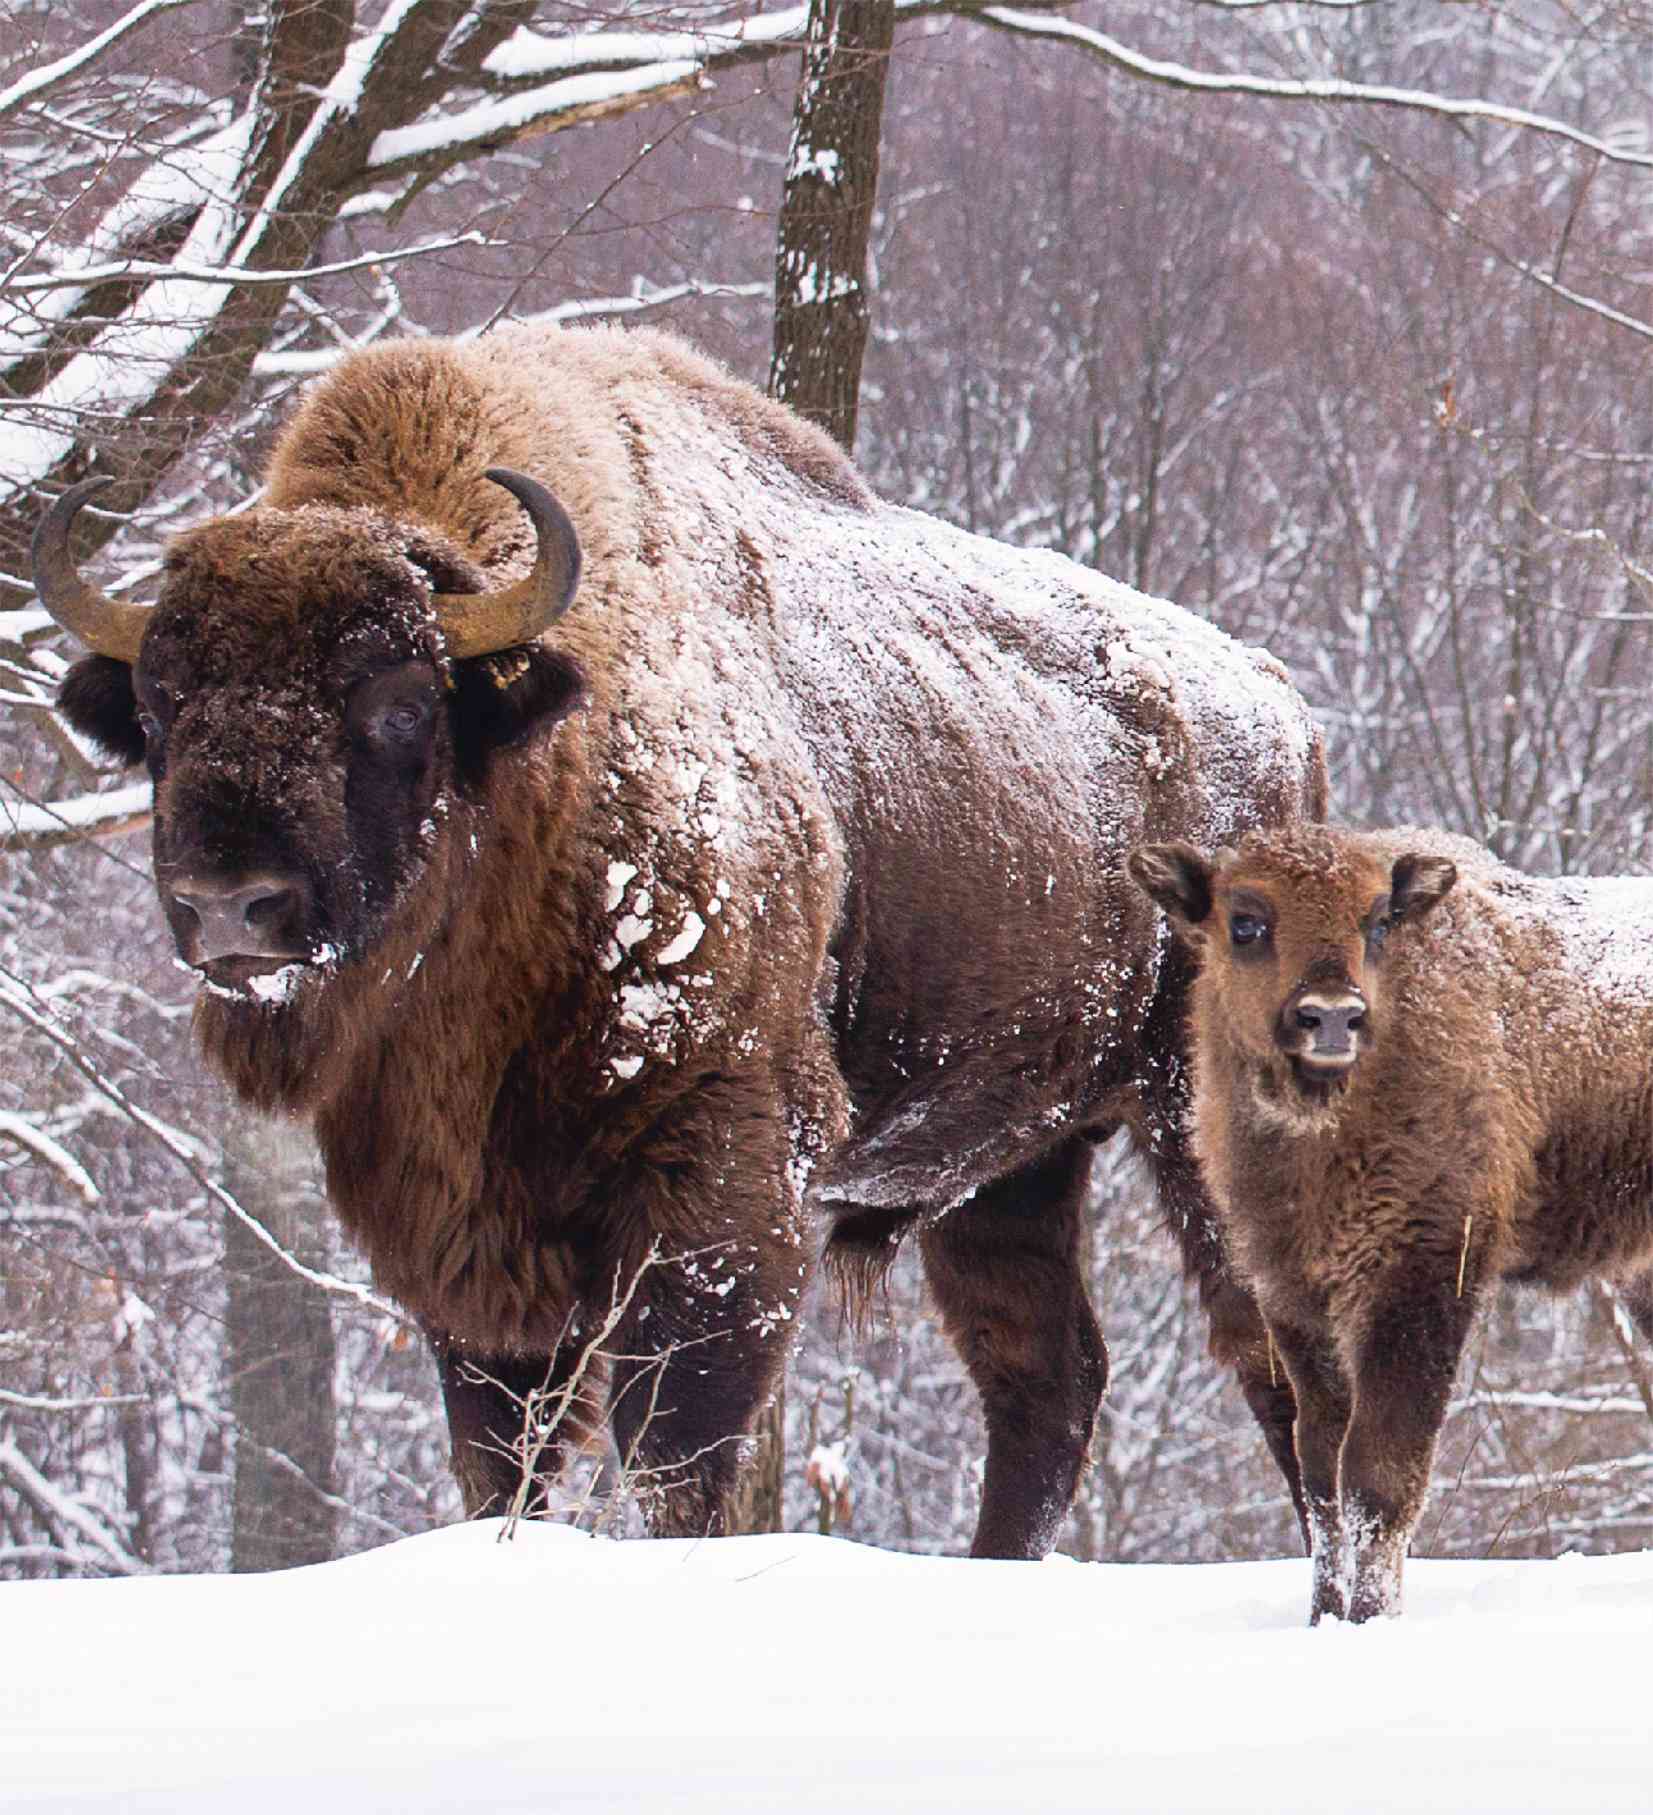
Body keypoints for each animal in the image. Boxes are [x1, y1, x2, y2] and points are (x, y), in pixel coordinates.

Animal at [38, 323, 1328, 1546]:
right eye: (157, 707)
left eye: (397, 701)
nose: (230, 906)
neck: (538, 761)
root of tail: (1280, 706)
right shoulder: (471, 1239)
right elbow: (502, 1461)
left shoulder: (719, 1171)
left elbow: (674, 1451)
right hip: (1014, 1164)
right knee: (1047, 1384)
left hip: (1197, 1116)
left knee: (1282, 1360)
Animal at [1132, 831, 1653, 1626]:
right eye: (1244, 921)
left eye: (1377, 921)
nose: (1331, 1016)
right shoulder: (1292, 1294)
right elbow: (1319, 1469)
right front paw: (1322, 1616)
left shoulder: (1419, 1277)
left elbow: (1378, 1476)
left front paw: (1371, 1619)